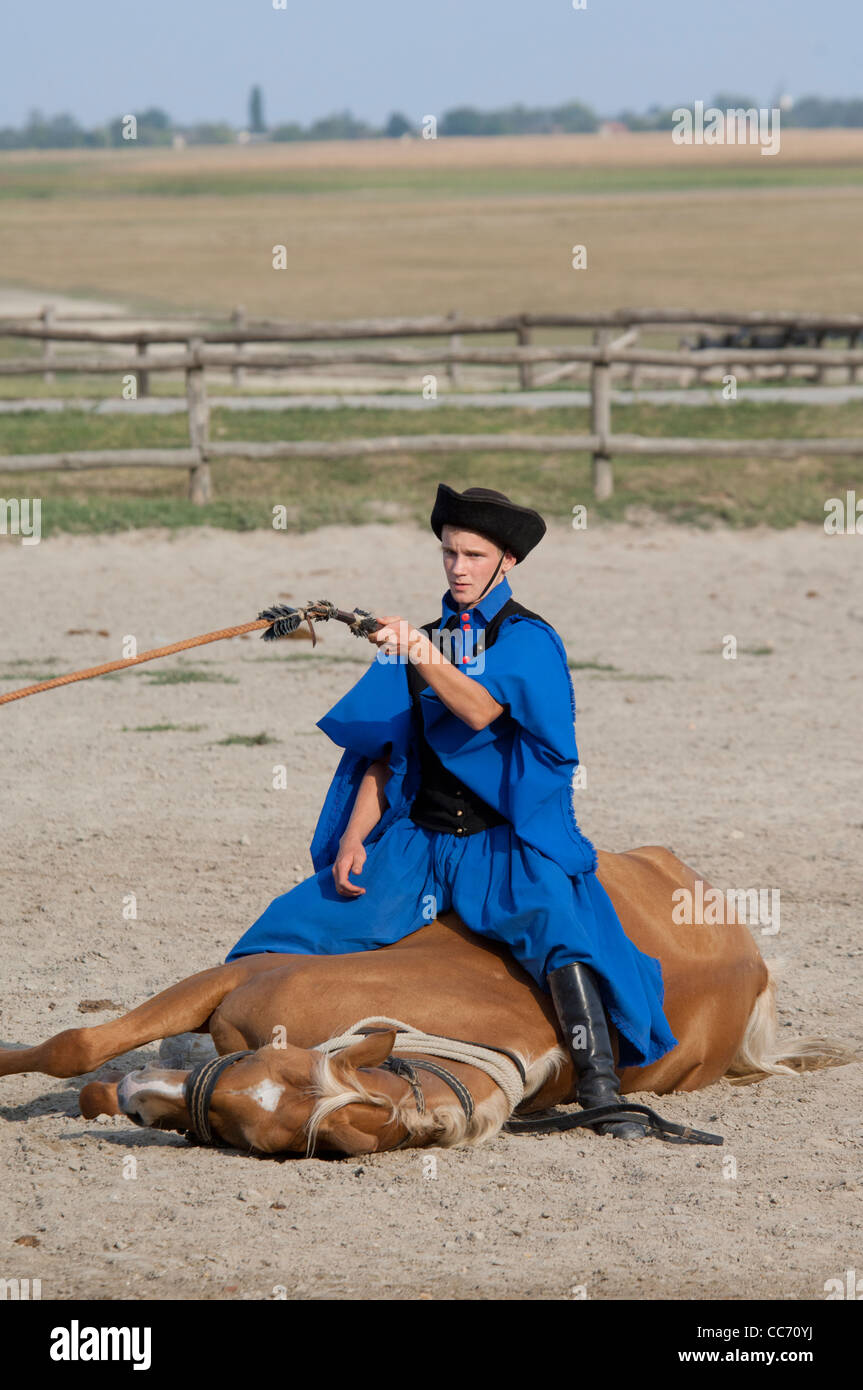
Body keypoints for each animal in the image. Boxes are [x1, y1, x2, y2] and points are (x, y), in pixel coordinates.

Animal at [1, 850, 856, 1156]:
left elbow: (84, 1061)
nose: (138, 1099)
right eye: (255, 1068)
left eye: (254, 1131)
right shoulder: (226, 981)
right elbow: (77, 1046)